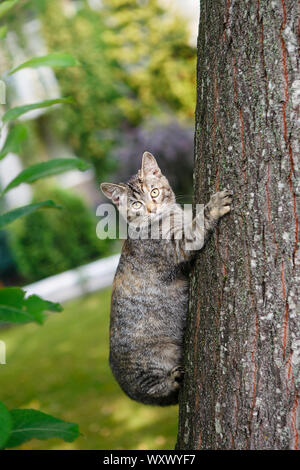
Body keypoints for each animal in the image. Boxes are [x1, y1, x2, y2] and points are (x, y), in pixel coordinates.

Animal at [101, 153, 232, 404]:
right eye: (136, 205)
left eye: (154, 192)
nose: (152, 208)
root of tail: (125, 390)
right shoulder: (178, 245)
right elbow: (197, 226)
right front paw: (213, 207)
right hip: (152, 366)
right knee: (159, 391)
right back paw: (173, 379)